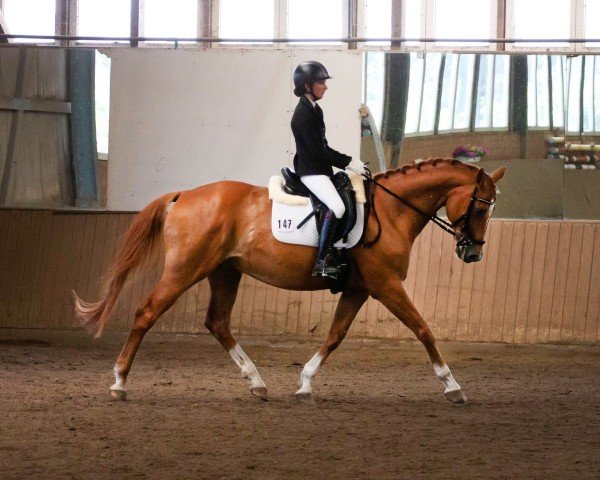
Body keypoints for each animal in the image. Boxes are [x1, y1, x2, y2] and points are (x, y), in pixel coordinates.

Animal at [74, 158, 506, 404]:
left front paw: (304, 384)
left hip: (225, 271)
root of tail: (184, 195)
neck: (391, 210)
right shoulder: (385, 286)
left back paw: (256, 382)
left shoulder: (359, 288)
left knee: (217, 322)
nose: (473, 254)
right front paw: (452, 386)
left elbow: (334, 336)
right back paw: (119, 383)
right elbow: (423, 329)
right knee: (146, 314)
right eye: (480, 208)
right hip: (185, 271)